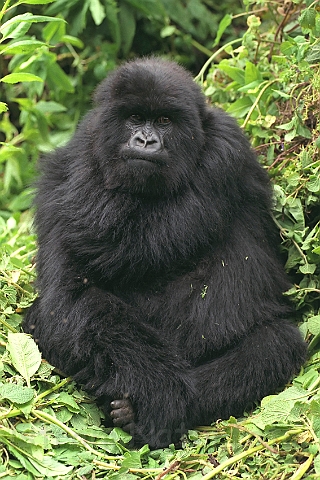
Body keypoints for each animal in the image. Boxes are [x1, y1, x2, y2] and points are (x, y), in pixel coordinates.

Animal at [23, 57, 306, 450]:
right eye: (134, 118)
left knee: (275, 344)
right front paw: (159, 394)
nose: (145, 140)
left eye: (164, 121)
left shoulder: (226, 151)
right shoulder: (63, 175)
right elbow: (68, 297)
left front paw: (164, 404)